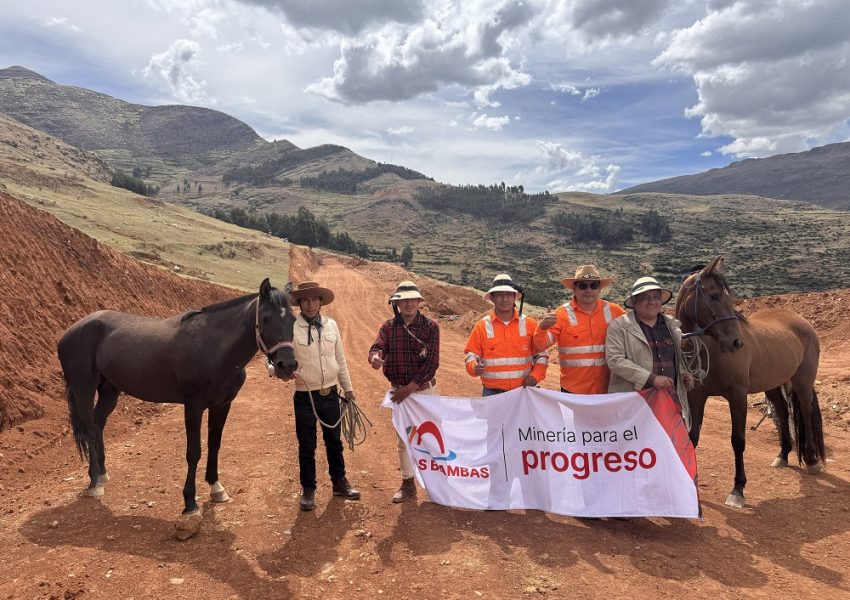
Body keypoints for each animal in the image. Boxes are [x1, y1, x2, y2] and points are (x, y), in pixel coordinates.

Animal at [58, 278, 297, 517]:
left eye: (293, 320)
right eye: (265, 318)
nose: (287, 365)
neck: (213, 347)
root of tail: (71, 331)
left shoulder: (222, 405)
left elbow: (215, 445)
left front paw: (216, 487)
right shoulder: (193, 406)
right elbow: (194, 452)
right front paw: (190, 503)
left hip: (110, 391)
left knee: (98, 424)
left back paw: (101, 474)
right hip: (83, 390)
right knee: (90, 429)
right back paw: (95, 483)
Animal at [675, 257, 826, 508]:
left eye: (729, 297)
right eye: (714, 296)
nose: (736, 342)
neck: (713, 350)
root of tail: (803, 322)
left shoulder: (737, 397)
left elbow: (738, 440)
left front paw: (738, 489)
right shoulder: (697, 397)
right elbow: (692, 438)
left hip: (802, 383)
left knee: (804, 411)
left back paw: (813, 460)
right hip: (773, 384)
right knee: (782, 412)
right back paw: (783, 455)